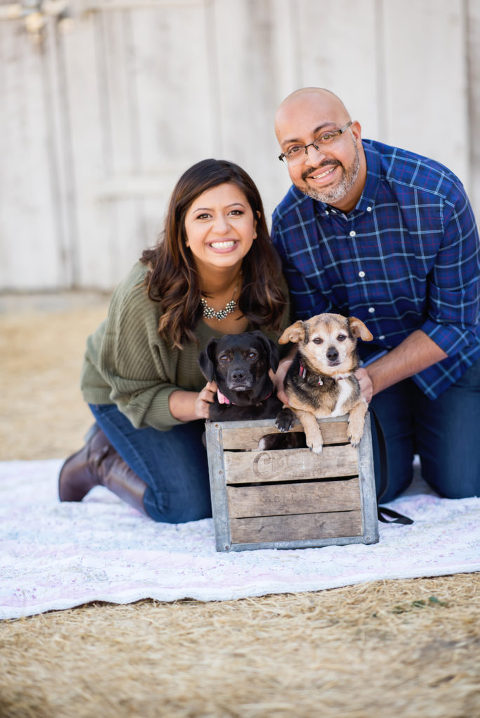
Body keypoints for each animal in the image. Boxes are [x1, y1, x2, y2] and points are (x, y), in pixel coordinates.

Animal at [276, 316, 374, 456]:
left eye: (341, 337)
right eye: (317, 340)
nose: (332, 354)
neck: (334, 377)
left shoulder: (361, 399)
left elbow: (360, 407)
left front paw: (355, 432)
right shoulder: (292, 404)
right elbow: (305, 414)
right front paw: (315, 440)